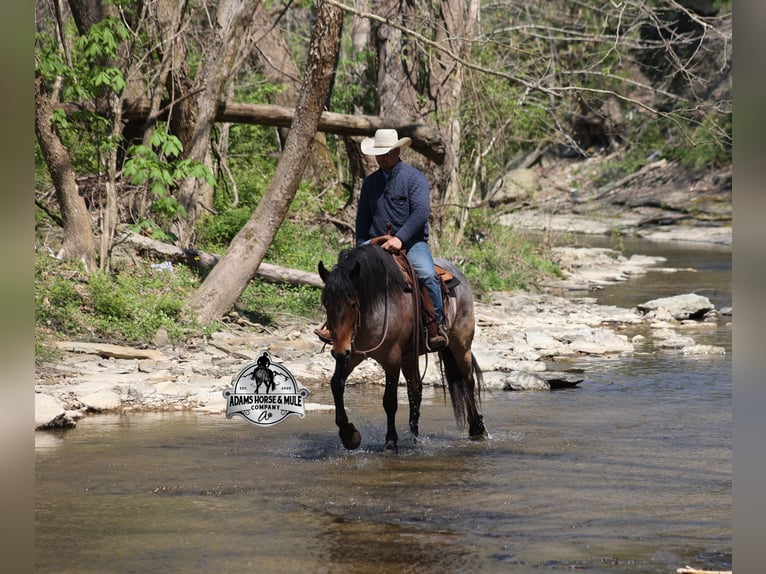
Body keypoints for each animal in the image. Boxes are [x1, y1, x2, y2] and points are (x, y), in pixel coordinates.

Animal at [317, 243, 487, 452]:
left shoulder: (392, 358)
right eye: (326, 304)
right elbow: (336, 384)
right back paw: (413, 437)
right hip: (409, 356)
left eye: (352, 304)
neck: (377, 303)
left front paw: (391, 442)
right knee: (416, 390)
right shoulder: (353, 354)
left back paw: (477, 429)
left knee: (468, 380)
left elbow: (390, 401)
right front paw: (350, 436)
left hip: (461, 344)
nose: (339, 351)